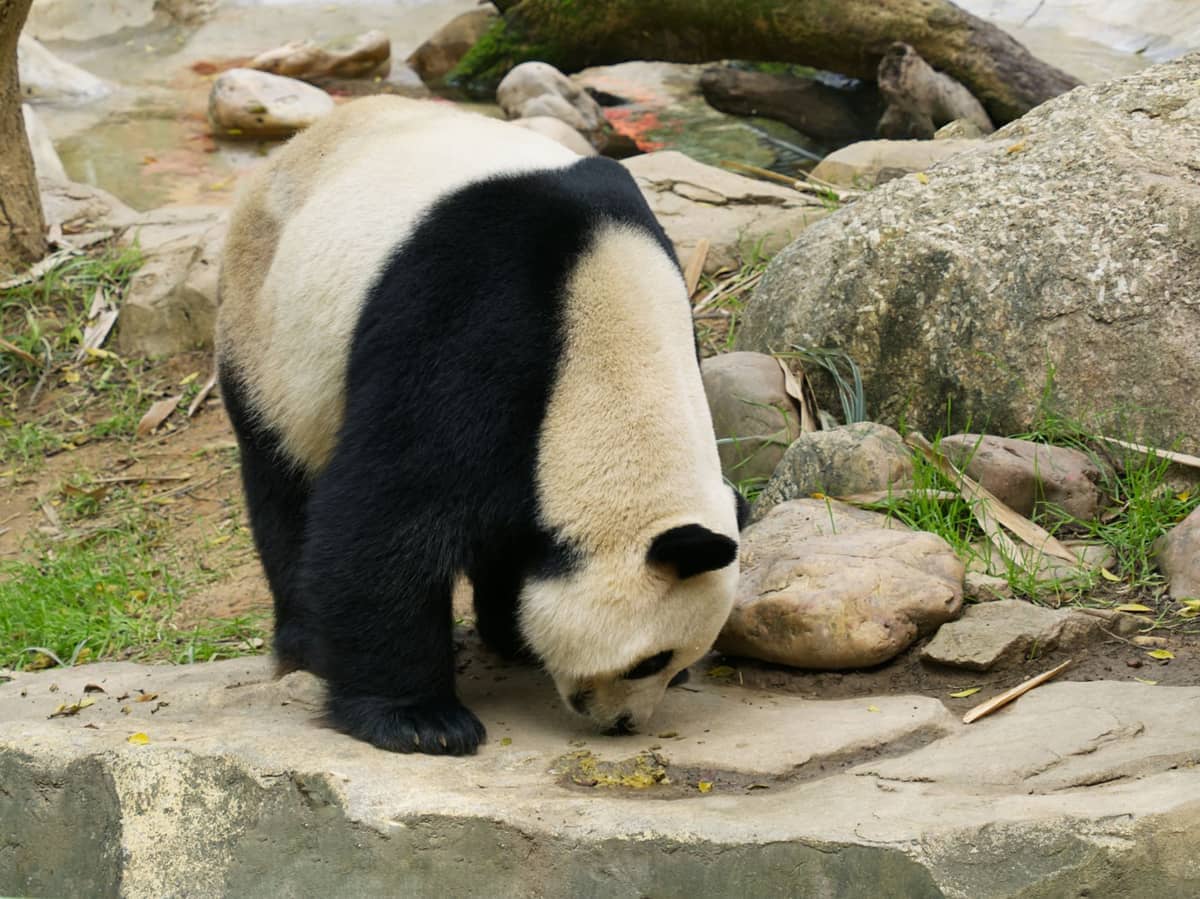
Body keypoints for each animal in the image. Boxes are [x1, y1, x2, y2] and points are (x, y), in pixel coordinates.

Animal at [217, 96, 743, 756]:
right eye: (650, 660)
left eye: (676, 668)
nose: (624, 724)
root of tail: (288, 150)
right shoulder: (469, 321)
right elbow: (386, 514)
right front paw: (422, 721)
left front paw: (515, 635)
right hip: (267, 327)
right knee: (283, 480)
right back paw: (307, 642)